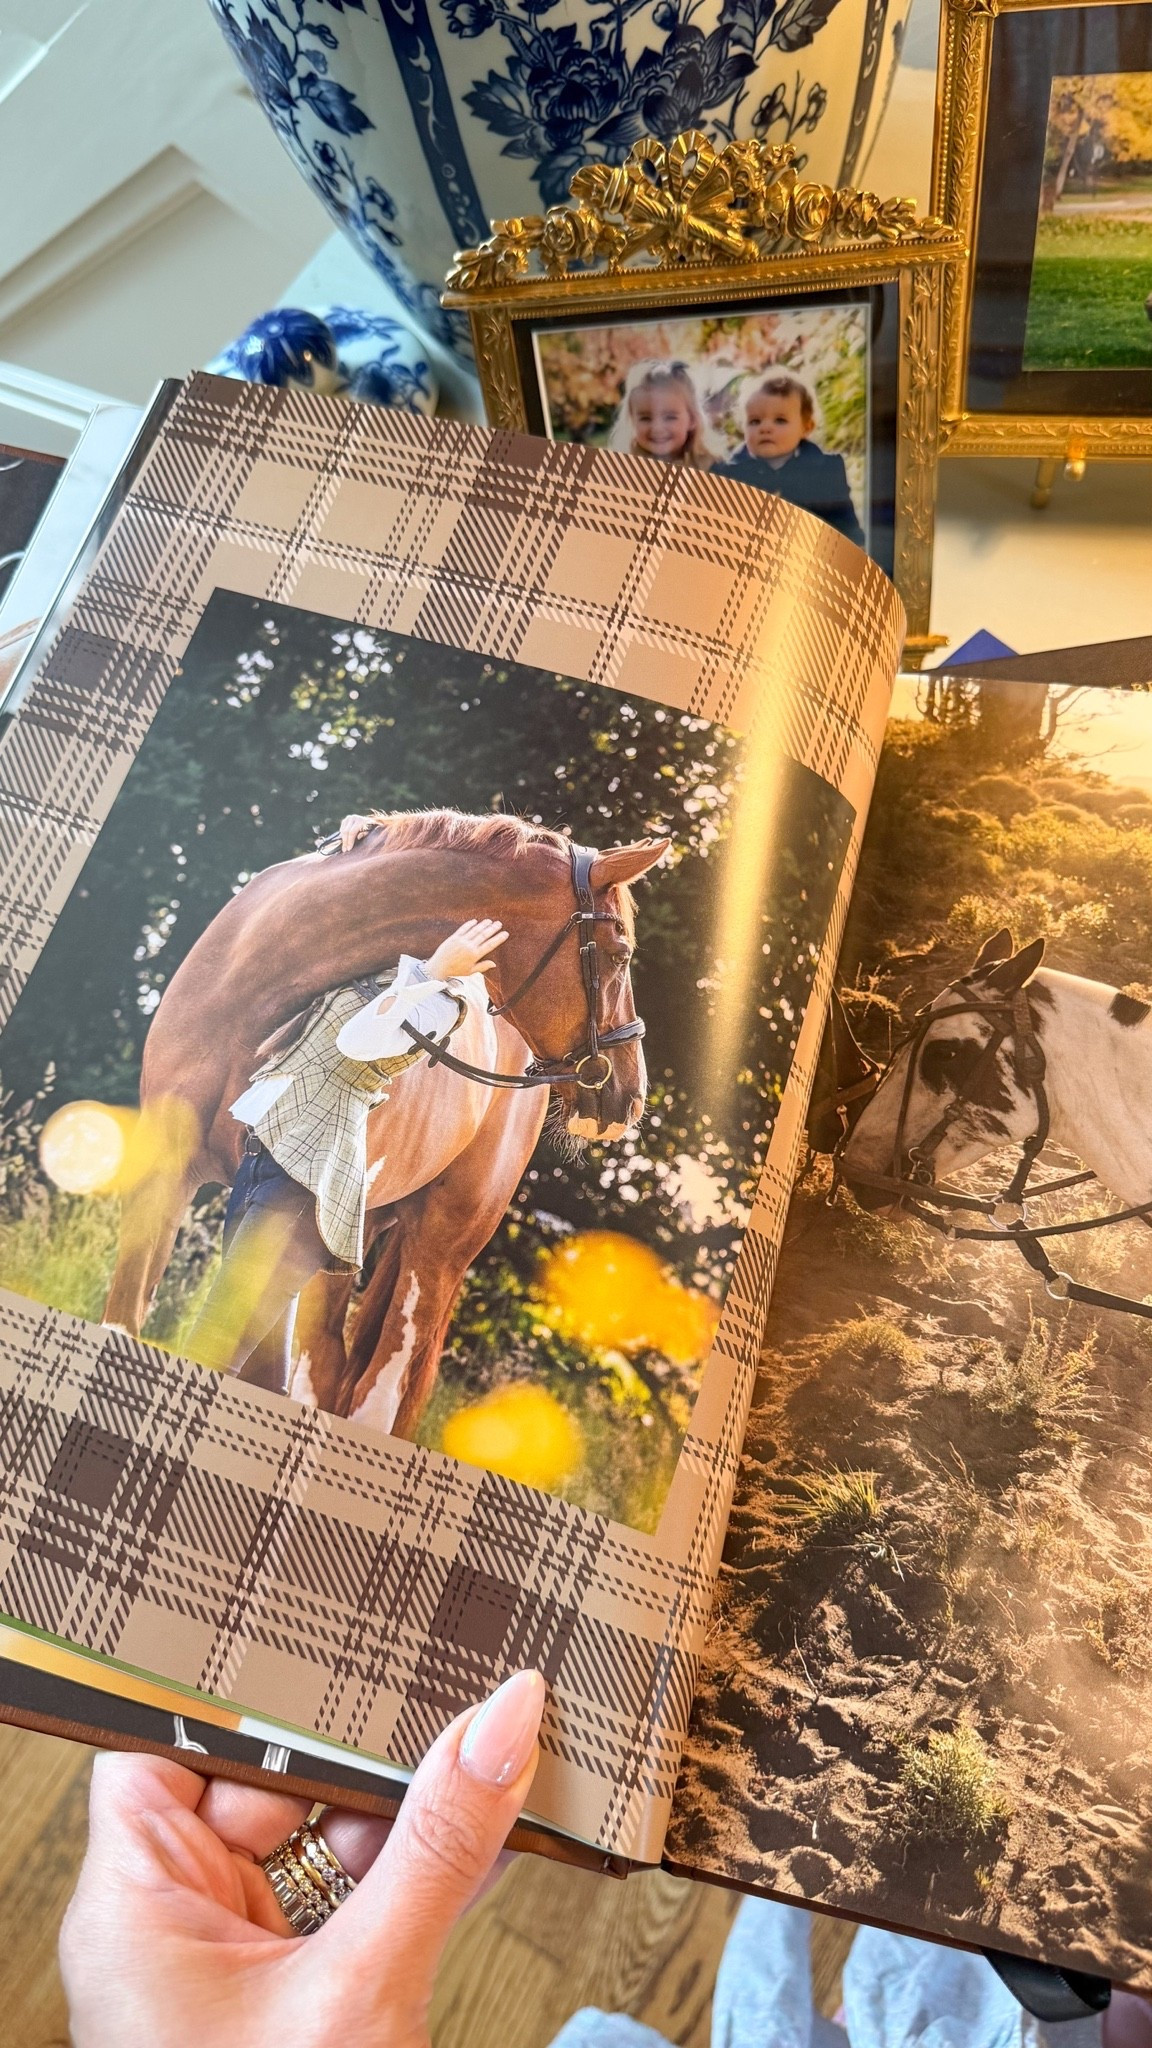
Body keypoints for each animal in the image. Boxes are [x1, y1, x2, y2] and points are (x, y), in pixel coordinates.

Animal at [103, 810, 668, 1433]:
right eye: (619, 954)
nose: (628, 1097)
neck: (250, 983)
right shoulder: (163, 1178)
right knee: (319, 1375)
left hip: (438, 1251)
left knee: (377, 1393)